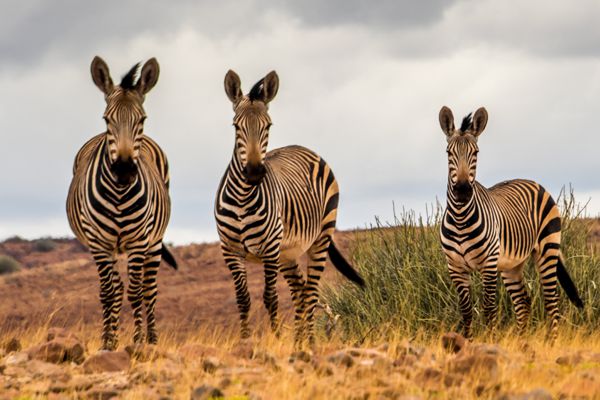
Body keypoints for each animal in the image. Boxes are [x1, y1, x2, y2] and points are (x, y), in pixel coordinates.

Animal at [67, 56, 177, 350]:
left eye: (142, 119)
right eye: (107, 119)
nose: (125, 170)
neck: (118, 194)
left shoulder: (139, 240)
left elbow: (136, 292)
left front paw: (137, 341)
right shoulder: (98, 242)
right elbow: (107, 293)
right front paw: (107, 342)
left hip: (155, 241)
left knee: (149, 289)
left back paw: (151, 339)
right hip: (111, 248)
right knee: (115, 288)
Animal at [216, 69, 366, 346]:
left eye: (268, 126)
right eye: (235, 126)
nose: (254, 172)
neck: (243, 197)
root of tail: (304, 147)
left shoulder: (269, 248)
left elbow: (270, 297)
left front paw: (274, 339)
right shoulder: (230, 250)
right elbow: (243, 299)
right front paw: (244, 341)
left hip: (319, 238)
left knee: (311, 291)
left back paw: (309, 342)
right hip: (289, 252)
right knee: (300, 290)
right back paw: (299, 341)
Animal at [438, 104, 584, 340]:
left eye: (476, 153)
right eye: (448, 153)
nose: (462, 191)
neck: (461, 219)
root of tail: (533, 182)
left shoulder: (489, 263)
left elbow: (489, 308)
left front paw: (489, 342)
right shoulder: (456, 267)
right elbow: (466, 311)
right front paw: (467, 343)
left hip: (547, 250)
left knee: (551, 301)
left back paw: (552, 342)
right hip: (511, 266)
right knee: (523, 302)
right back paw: (522, 342)